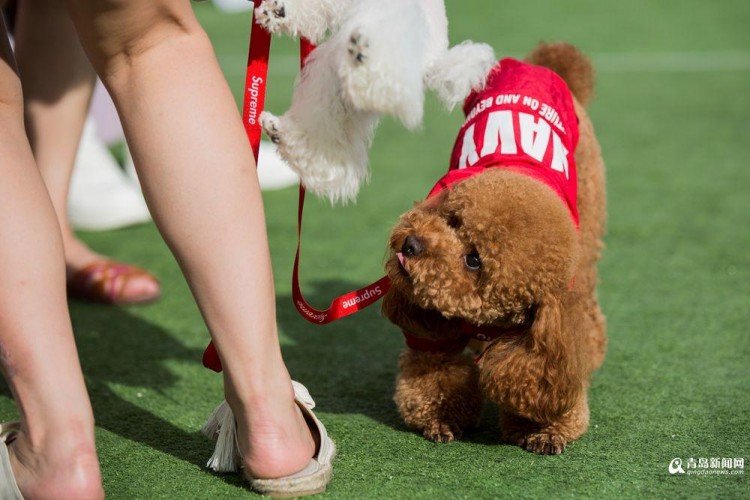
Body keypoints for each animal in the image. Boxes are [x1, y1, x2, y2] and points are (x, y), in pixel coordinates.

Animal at [384, 44, 608, 458]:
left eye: (474, 260)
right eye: (452, 220)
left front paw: (544, 429)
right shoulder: (432, 328)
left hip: (588, 222)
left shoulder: (547, 331)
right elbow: (434, 371)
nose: (412, 243)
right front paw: (440, 416)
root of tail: (545, 66)